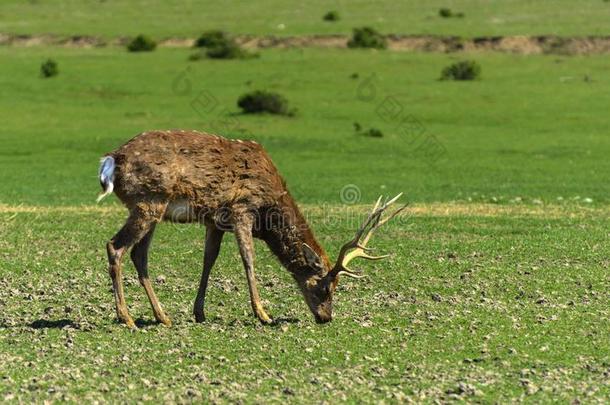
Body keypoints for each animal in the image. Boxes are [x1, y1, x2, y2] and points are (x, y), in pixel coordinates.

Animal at [97, 130, 404, 328]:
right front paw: (263, 313)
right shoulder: (242, 209)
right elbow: (248, 259)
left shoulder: (215, 221)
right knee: (116, 246)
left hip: (152, 208)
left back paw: (162, 316)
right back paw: (126, 318)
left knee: (139, 255)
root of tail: (110, 161)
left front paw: (199, 313)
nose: (326, 317)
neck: (269, 208)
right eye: (325, 287)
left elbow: (209, 260)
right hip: (148, 201)